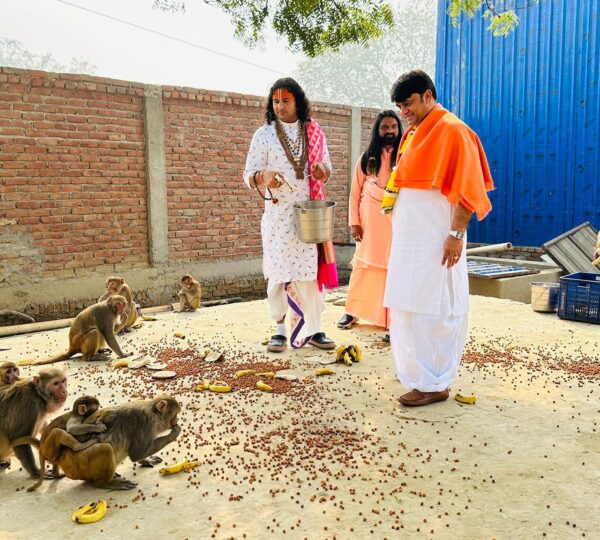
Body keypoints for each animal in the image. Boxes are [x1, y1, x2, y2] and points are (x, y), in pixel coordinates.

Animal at [24, 394, 182, 492]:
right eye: (175, 415)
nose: (176, 421)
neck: (153, 414)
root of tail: (62, 457)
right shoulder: (144, 422)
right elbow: (136, 453)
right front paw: (173, 434)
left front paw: (147, 459)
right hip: (76, 465)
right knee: (105, 448)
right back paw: (106, 483)